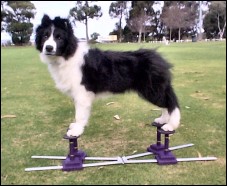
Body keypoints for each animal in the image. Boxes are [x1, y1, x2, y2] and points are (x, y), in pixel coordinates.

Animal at [35, 14, 181, 137]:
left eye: (59, 38)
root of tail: (159, 60)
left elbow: (80, 114)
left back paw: (170, 125)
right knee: (166, 104)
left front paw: (76, 130)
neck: (68, 54)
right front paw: (76, 126)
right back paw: (162, 120)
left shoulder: (82, 93)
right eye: (45, 36)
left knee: (171, 104)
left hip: (152, 89)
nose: (48, 48)